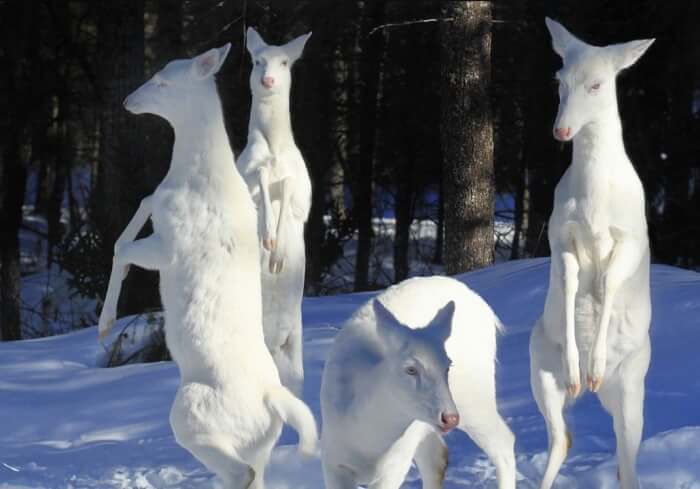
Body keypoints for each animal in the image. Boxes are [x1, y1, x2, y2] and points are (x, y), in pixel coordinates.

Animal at [96, 43, 318, 488]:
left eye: (163, 81)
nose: (128, 101)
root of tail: (272, 401)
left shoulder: (169, 247)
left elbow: (121, 248)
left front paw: (105, 323)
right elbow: (142, 205)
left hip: (191, 413)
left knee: (240, 471)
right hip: (257, 442)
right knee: (254, 470)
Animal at [322, 274, 516, 488]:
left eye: (448, 366)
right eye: (411, 369)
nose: (449, 418)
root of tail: (490, 313)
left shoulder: (397, 464)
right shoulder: (332, 460)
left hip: (475, 397)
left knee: (503, 442)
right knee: (438, 458)